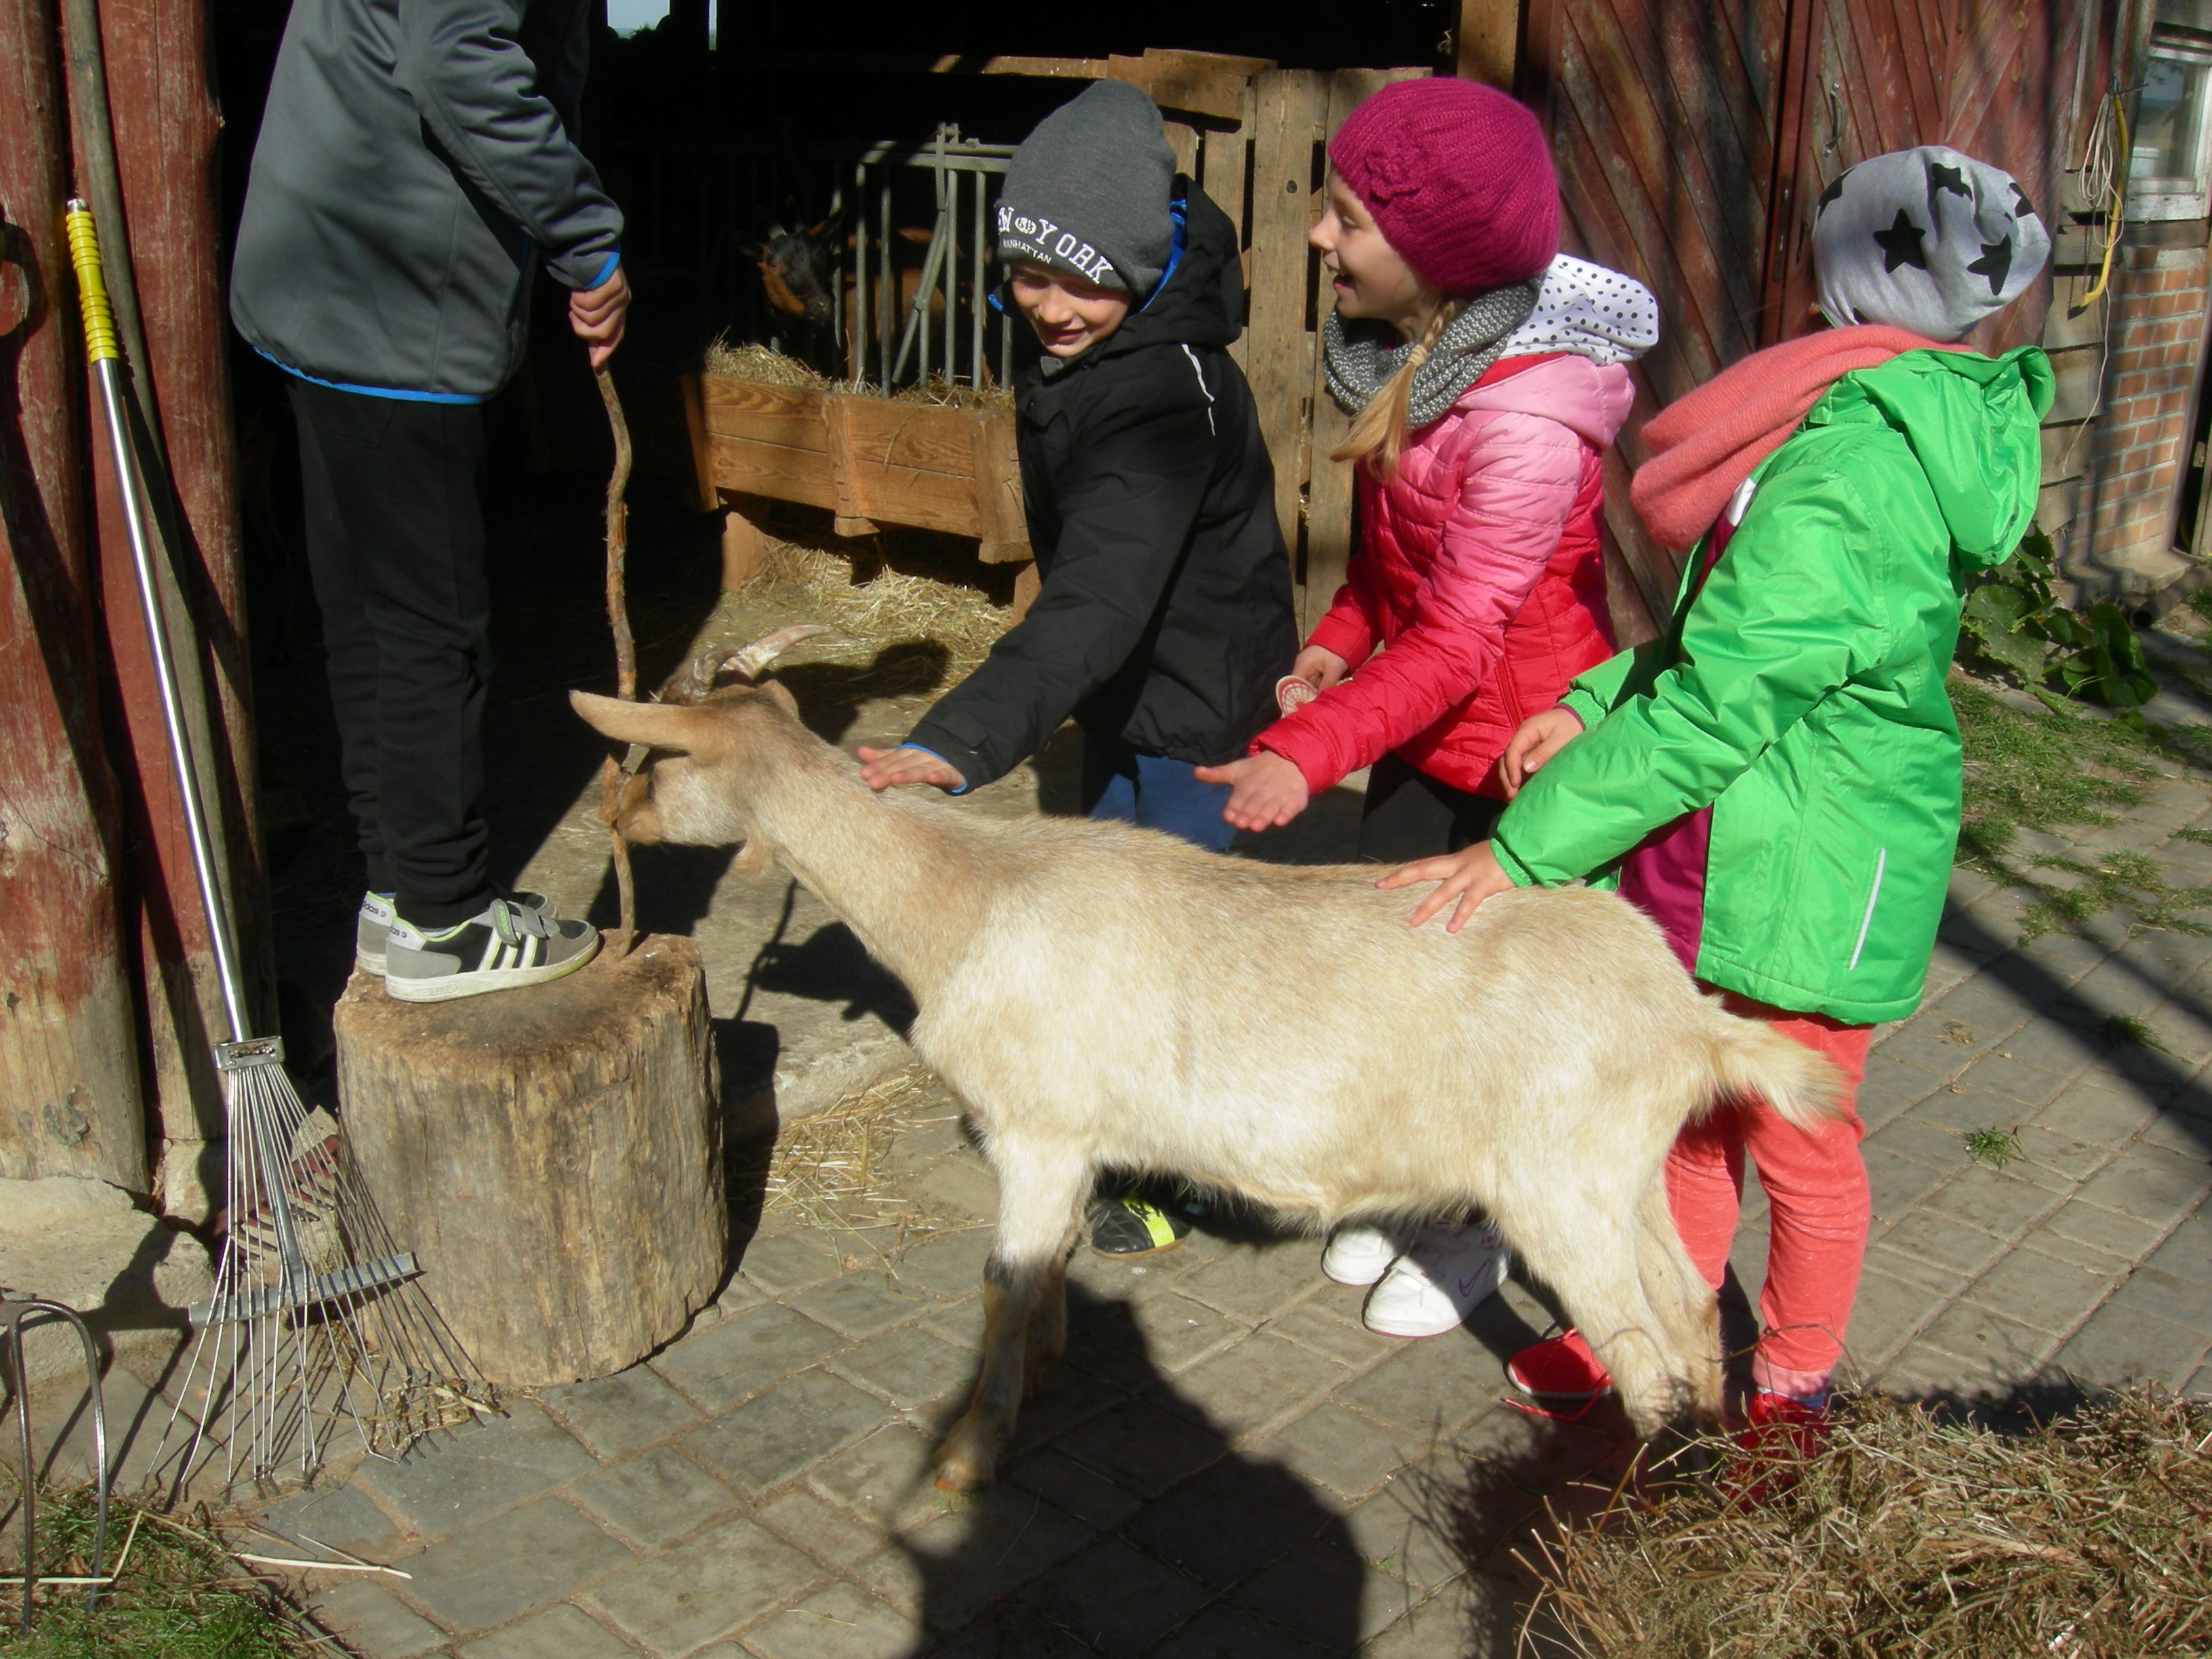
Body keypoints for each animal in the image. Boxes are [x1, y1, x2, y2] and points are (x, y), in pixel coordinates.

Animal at [571, 647, 1841, 1491]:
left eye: (655, 759)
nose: (613, 816)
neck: (964, 904)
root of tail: (1688, 1019)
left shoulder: (1035, 1128)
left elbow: (1001, 1279)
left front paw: (968, 1453)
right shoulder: (1076, 1140)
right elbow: (1048, 1266)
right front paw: (1045, 1365)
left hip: (1555, 1182)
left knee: (1640, 1355)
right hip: (1620, 1167)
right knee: (1688, 1302)